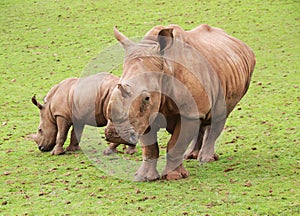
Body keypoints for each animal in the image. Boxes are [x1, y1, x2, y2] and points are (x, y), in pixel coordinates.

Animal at [105, 24, 255, 181]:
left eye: (146, 98)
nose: (114, 134)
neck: (166, 67)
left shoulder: (185, 114)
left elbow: (176, 145)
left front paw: (174, 176)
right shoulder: (144, 117)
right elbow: (150, 148)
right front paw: (144, 177)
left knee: (219, 114)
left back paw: (206, 159)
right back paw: (190, 156)